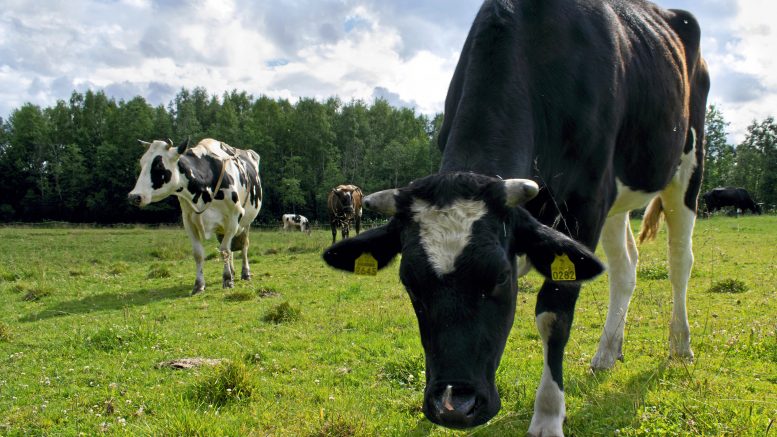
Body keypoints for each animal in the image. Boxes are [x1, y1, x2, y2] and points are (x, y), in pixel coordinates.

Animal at [127, 138, 260, 294]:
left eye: (159, 165)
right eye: (142, 162)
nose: (134, 196)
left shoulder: (234, 217)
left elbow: (225, 250)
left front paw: (227, 280)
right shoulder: (188, 220)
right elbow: (198, 253)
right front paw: (199, 285)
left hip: (246, 222)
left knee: (243, 245)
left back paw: (245, 273)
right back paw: (232, 272)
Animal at [318, 0, 708, 432]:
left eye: (500, 278)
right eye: (410, 284)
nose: (454, 406)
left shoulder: (585, 202)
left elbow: (554, 315)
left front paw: (548, 417)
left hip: (687, 164)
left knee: (680, 260)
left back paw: (681, 346)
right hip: (618, 201)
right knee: (624, 268)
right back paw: (607, 353)